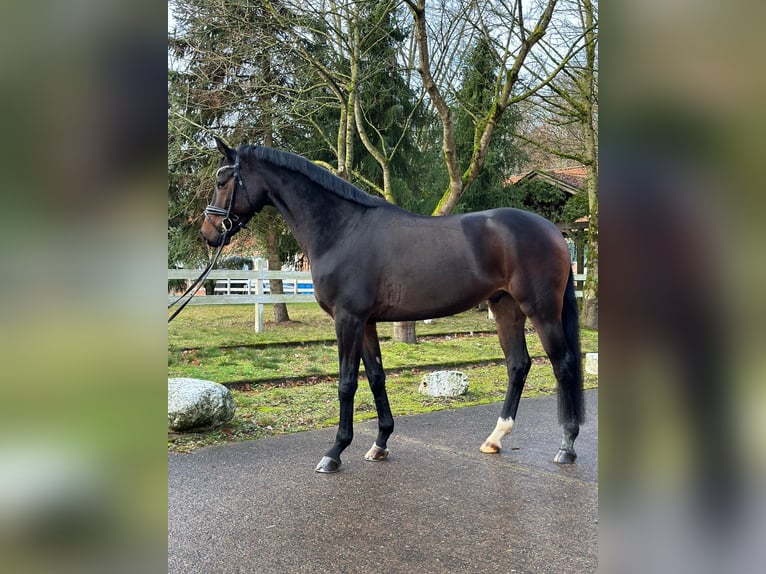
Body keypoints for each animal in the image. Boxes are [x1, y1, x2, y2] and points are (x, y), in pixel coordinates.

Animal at [201, 140, 584, 472]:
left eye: (222, 181)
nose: (208, 232)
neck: (342, 230)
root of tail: (553, 231)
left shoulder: (348, 320)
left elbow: (346, 382)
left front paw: (334, 452)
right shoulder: (366, 322)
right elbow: (375, 377)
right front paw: (380, 443)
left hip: (541, 311)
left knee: (563, 364)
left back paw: (566, 446)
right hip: (505, 307)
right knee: (518, 365)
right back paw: (495, 438)